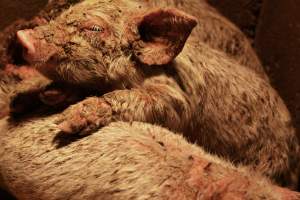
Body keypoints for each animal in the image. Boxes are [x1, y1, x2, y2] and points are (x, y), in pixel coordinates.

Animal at [12, 0, 298, 188]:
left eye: (94, 28)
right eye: (64, 15)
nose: (23, 35)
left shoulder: (176, 98)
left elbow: (144, 100)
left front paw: (67, 122)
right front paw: (37, 97)